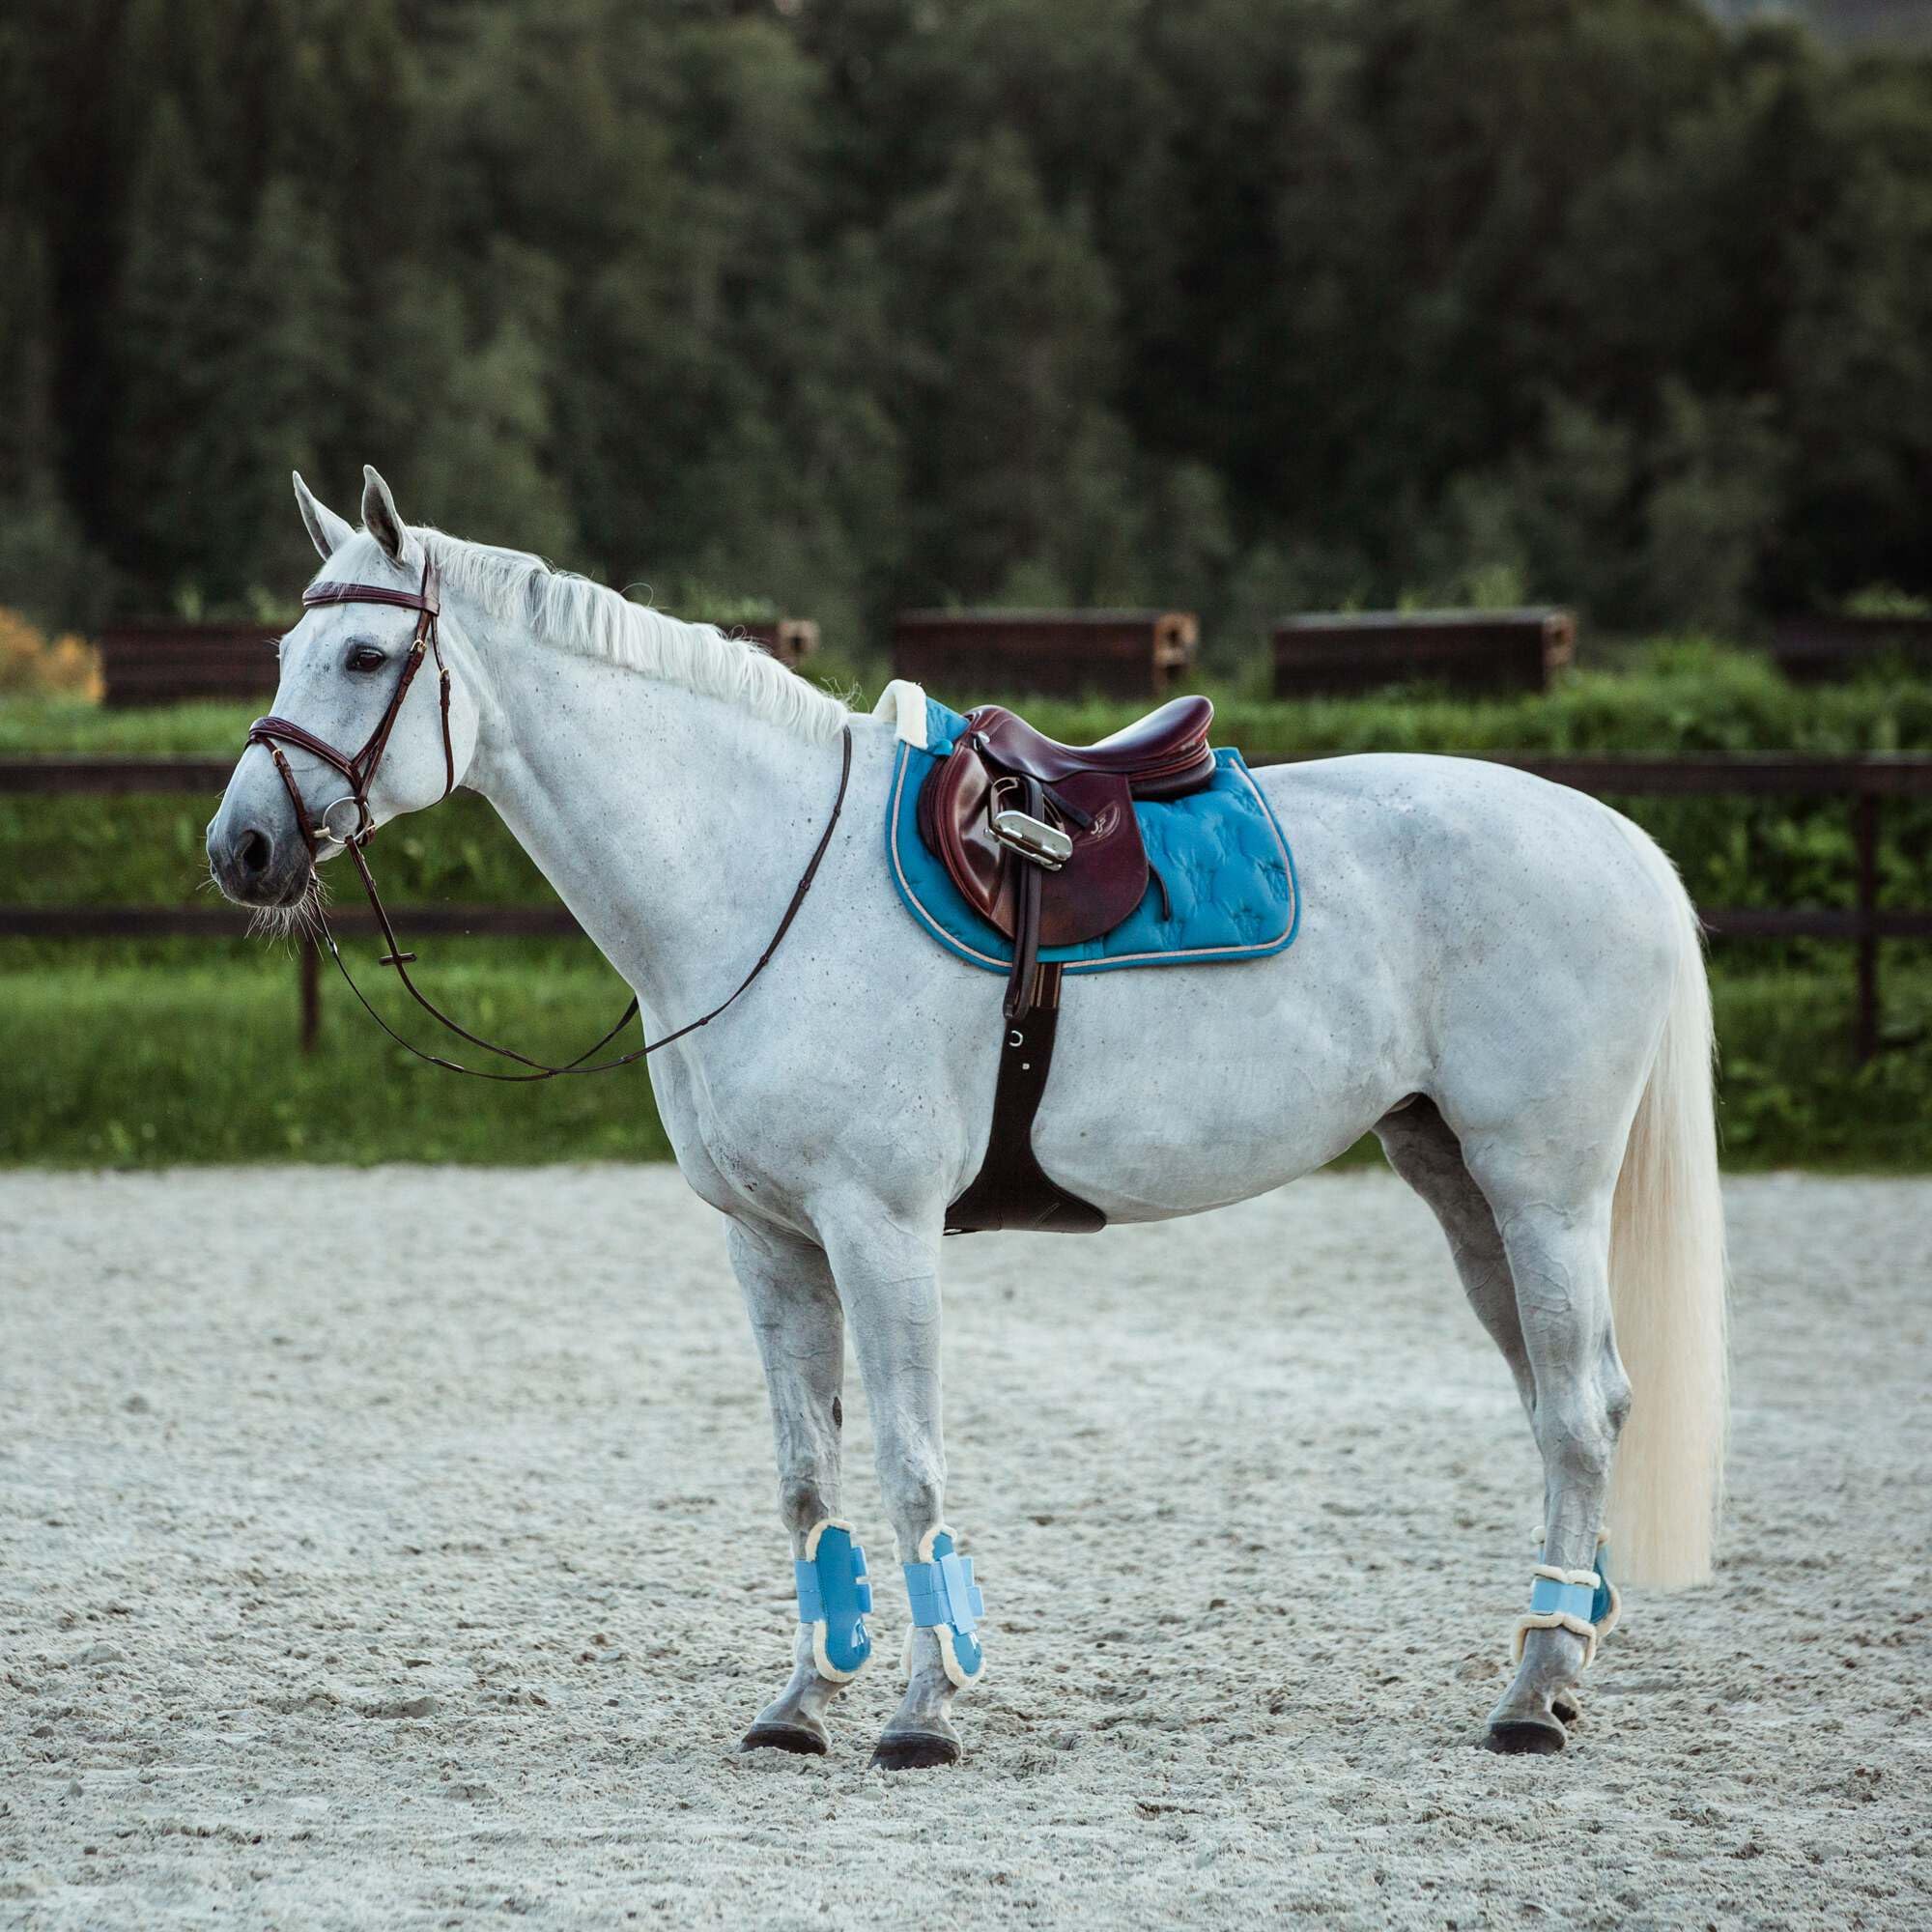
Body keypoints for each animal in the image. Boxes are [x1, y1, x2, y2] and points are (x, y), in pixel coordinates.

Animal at [207, 466, 1726, 1767]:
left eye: (363, 658)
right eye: (286, 654)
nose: (242, 848)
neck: (761, 876)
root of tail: (1615, 838)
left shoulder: (881, 1230)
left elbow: (909, 1466)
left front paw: (924, 1711)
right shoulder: (768, 1243)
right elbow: (806, 1478)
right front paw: (800, 1704)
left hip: (1540, 1188)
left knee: (1577, 1412)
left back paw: (1531, 1698)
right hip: (1455, 1179)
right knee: (1566, 1402)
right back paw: (1561, 1660)